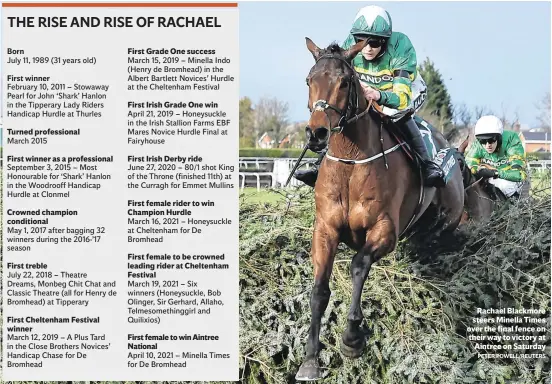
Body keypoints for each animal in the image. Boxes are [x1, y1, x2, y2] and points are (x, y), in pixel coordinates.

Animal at [294, 36, 466, 380]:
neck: (351, 163)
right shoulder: (325, 228)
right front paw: (310, 359)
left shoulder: (385, 231)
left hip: (445, 222)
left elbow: (359, 265)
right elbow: (319, 291)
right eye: (309, 80)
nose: (316, 134)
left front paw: (352, 337)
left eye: (345, 82)